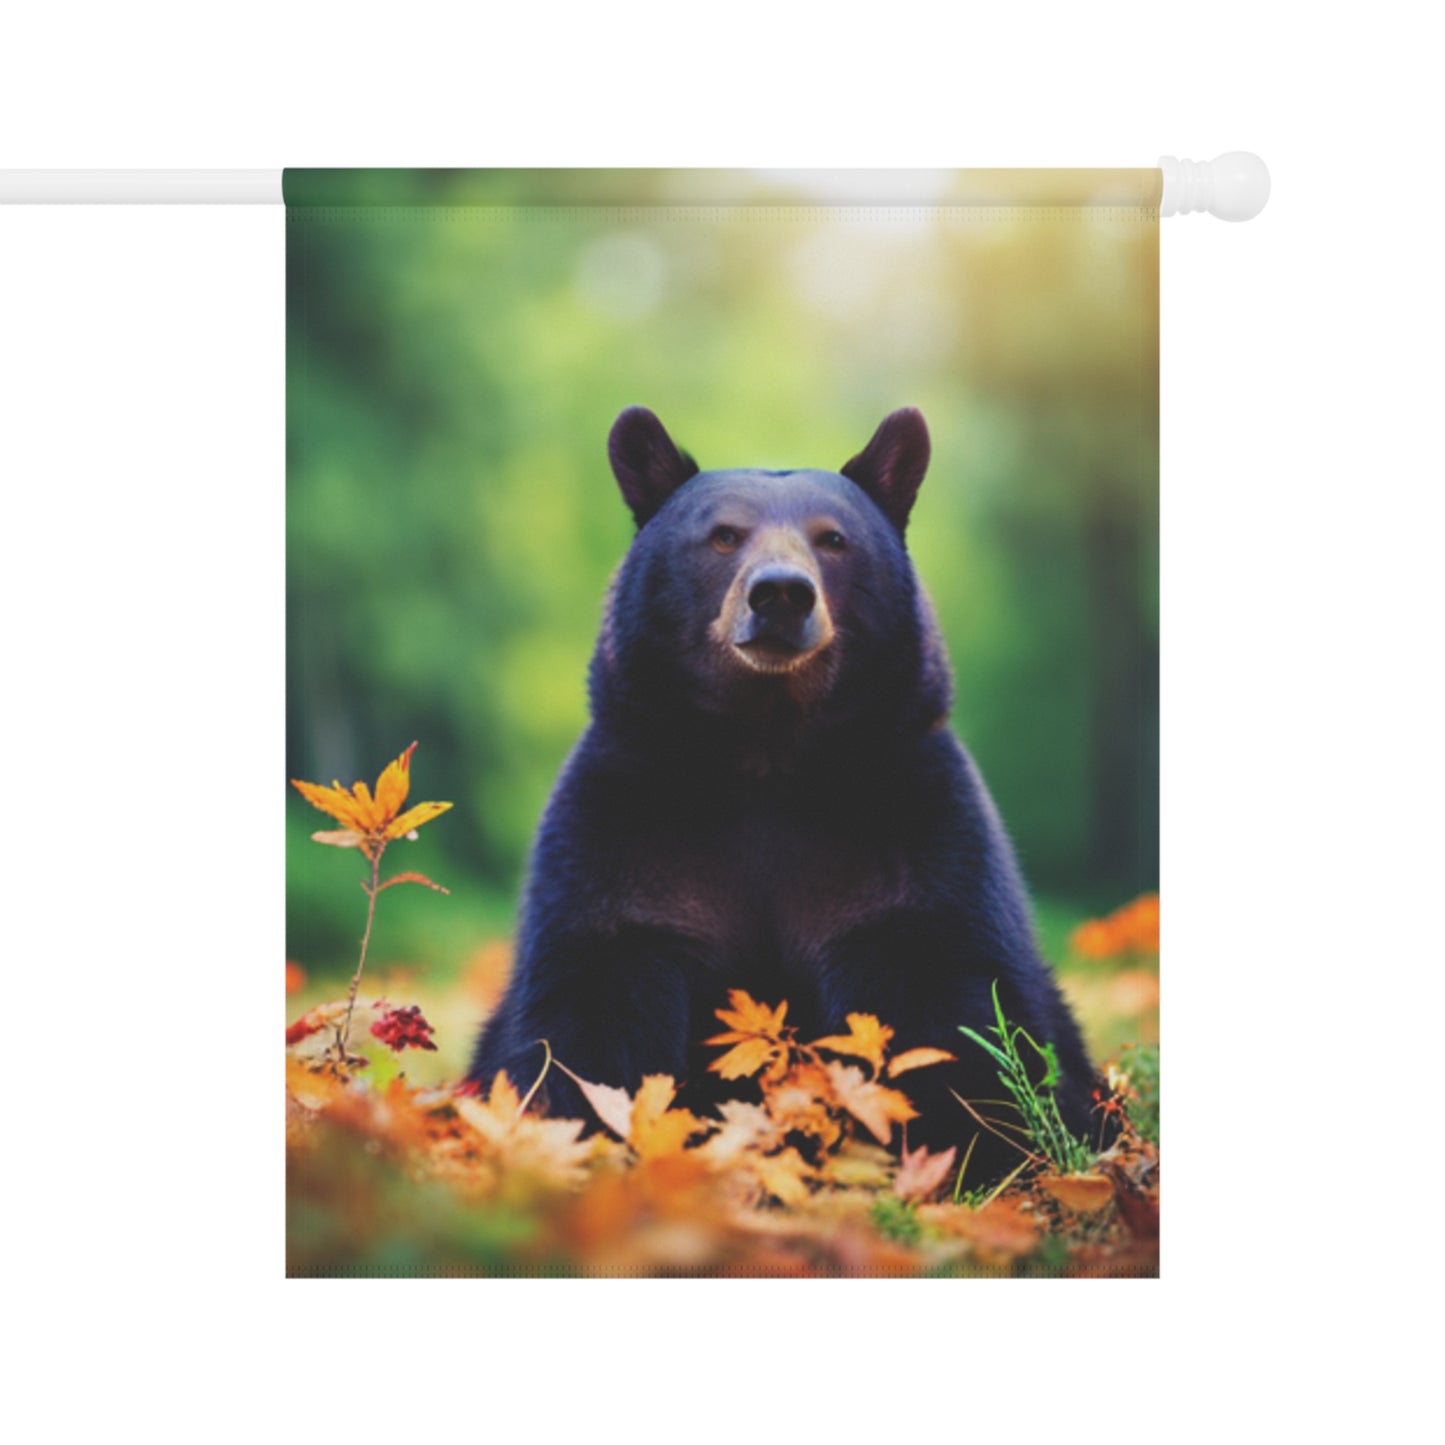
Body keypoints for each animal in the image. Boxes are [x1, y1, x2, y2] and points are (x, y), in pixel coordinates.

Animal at [469, 405, 1107, 1181]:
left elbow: (950, 1008)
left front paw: (966, 1157)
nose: (779, 593)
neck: (766, 756)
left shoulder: (913, 825)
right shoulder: (624, 824)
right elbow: (590, 1011)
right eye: (722, 534)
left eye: (833, 539)